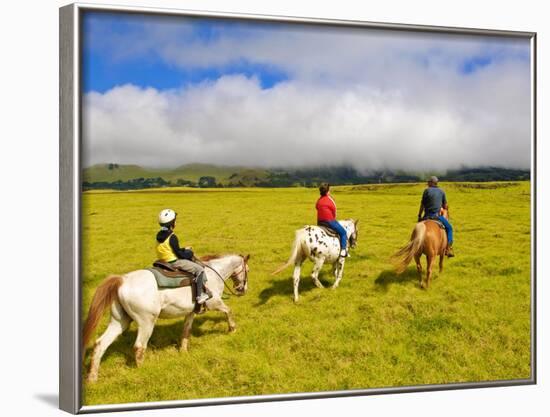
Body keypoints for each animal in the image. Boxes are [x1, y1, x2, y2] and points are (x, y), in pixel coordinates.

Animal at [83, 252, 250, 382]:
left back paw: (92, 378)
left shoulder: (190, 312)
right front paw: (232, 329)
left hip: (119, 322)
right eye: (247, 270)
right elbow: (229, 311)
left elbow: (186, 331)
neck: (213, 274)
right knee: (139, 347)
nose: (242, 290)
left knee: (100, 344)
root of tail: (123, 280)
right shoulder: (214, 303)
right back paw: (143, 371)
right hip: (146, 323)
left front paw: (183, 352)